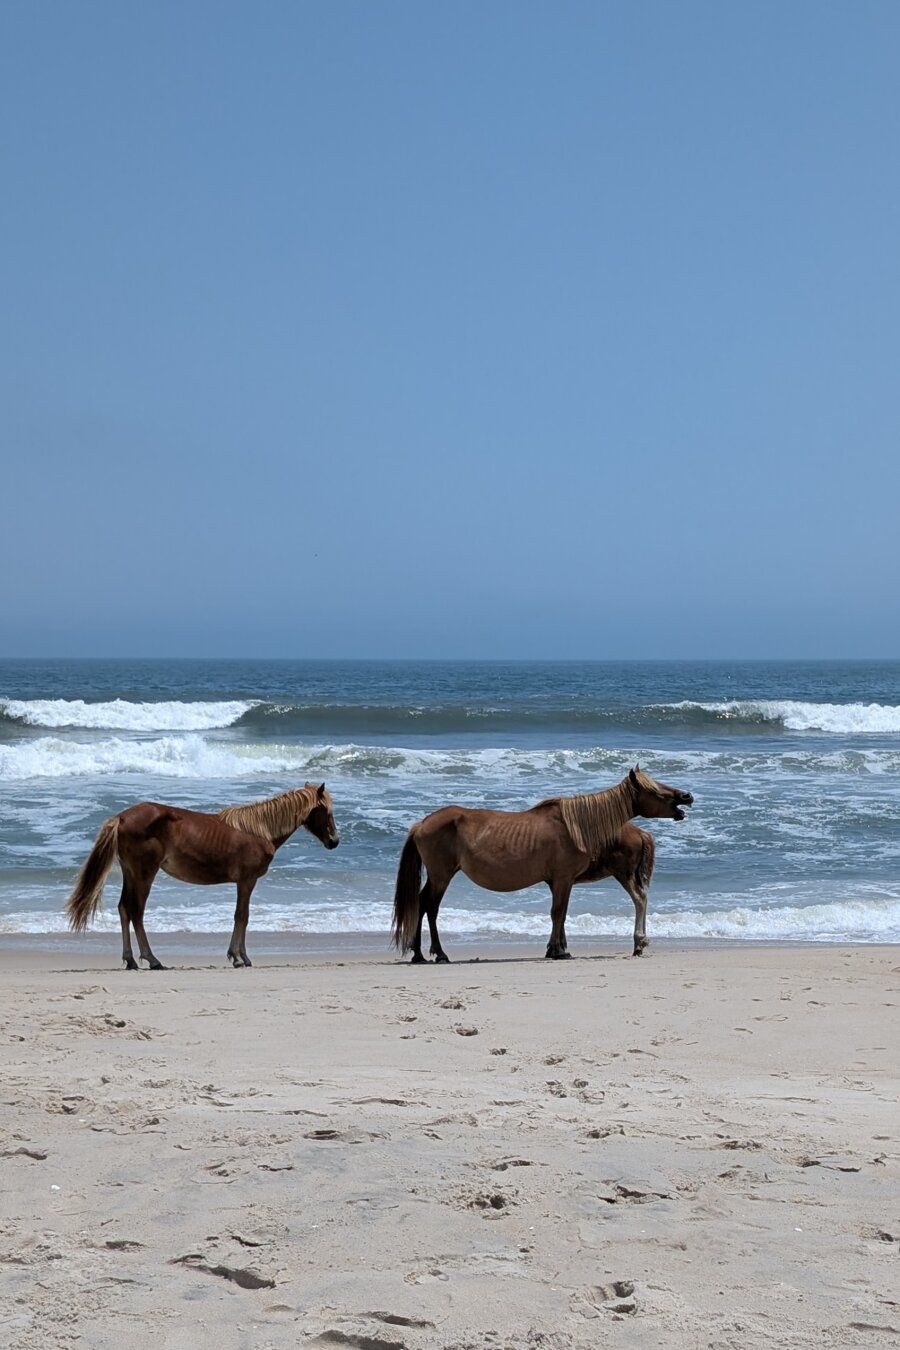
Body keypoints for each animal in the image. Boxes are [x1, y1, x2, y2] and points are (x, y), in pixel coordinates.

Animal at [65, 783, 340, 970]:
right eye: (325, 810)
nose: (334, 842)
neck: (259, 830)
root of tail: (121, 818)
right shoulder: (247, 881)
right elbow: (242, 916)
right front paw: (240, 957)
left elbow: (241, 917)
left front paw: (238, 956)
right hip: (144, 874)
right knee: (136, 911)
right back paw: (153, 960)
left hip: (131, 873)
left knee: (124, 909)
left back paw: (131, 960)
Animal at [391, 766, 692, 963]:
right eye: (656, 790)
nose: (687, 796)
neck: (579, 825)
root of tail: (422, 824)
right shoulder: (563, 879)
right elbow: (558, 913)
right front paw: (559, 951)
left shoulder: (559, 881)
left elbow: (559, 914)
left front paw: (555, 949)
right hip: (441, 875)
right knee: (429, 907)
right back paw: (438, 954)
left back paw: (418, 954)